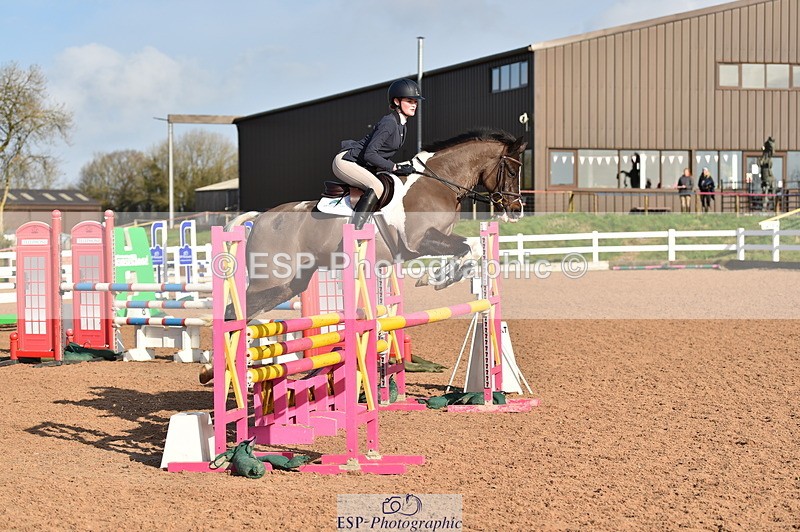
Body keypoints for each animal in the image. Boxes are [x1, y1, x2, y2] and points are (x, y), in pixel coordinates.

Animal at [237, 129, 527, 319]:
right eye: (512, 172)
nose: (516, 210)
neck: (437, 182)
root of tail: (261, 217)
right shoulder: (420, 241)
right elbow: (470, 246)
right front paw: (435, 278)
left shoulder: (438, 238)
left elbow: (471, 248)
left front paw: (441, 277)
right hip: (269, 280)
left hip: (288, 284)